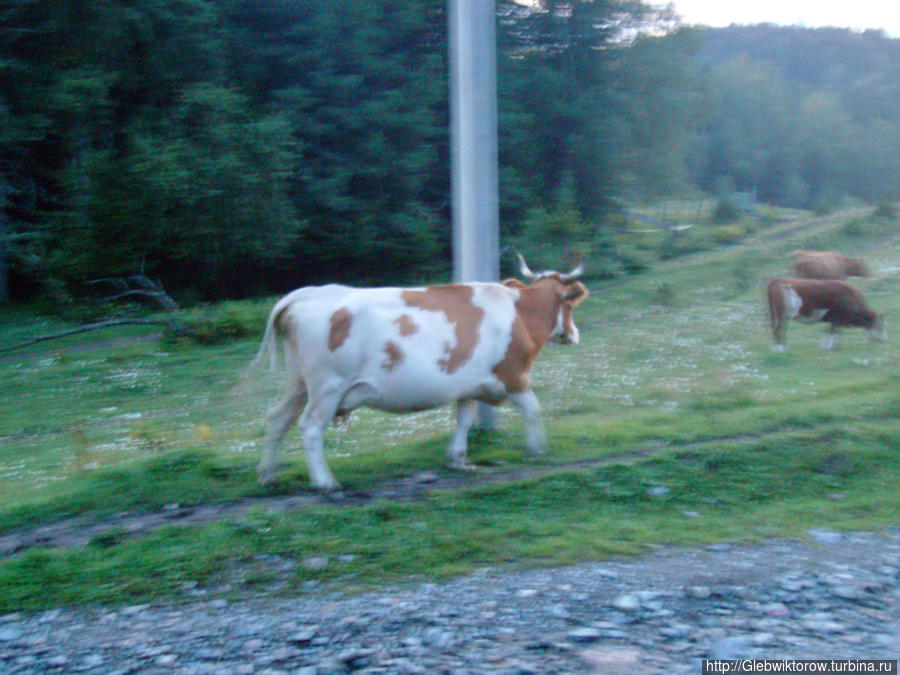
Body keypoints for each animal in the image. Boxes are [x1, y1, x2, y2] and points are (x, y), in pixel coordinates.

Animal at [255, 256, 592, 488]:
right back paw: (325, 482)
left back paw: (268, 475)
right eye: (569, 305)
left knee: (277, 420)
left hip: (299, 383)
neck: (519, 313)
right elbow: (534, 409)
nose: (574, 334)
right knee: (311, 427)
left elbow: (464, 420)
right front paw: (538, 449)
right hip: (327, 388)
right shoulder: (513, 376)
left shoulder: (468, 385)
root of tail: (309, 294)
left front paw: (458, 459)